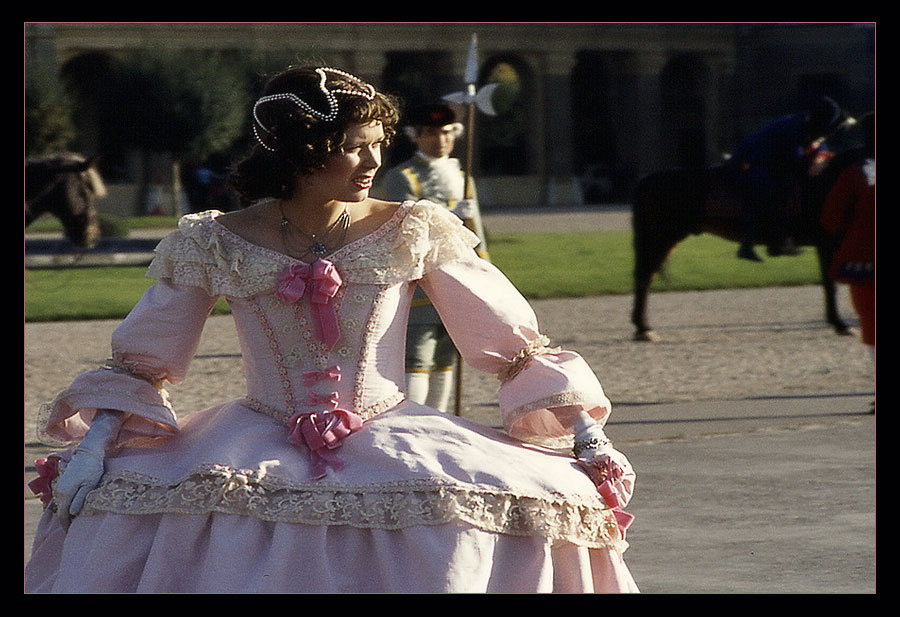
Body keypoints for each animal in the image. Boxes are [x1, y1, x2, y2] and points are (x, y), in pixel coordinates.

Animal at [628, 120, 868, 342]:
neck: (830, 179)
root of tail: (646, 181)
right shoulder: (827, 243)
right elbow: (831, 285)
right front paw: (840, 324)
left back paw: (642, 327)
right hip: (660, 238)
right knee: (644, 277)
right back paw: (644, 329)